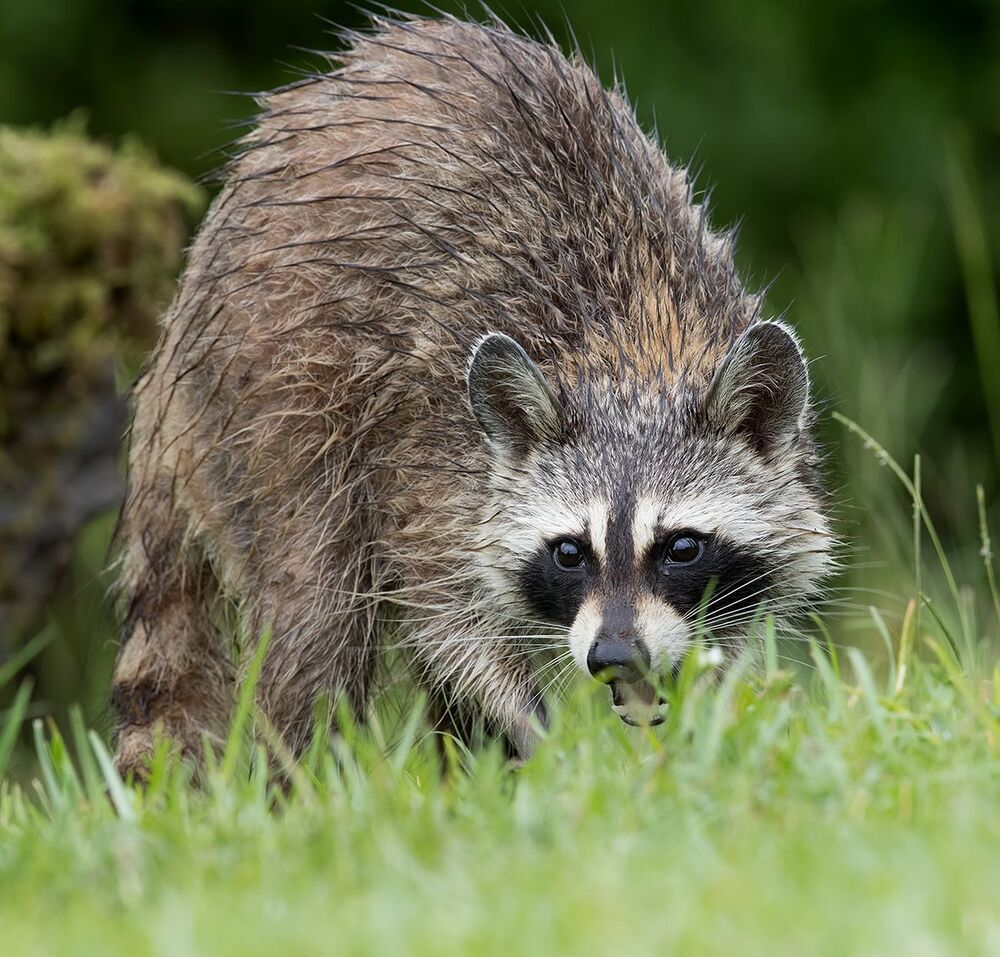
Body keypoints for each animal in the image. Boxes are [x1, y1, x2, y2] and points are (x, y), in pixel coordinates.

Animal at [112, 13, 833, 776]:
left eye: (682, 547)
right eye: (569, 552)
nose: (613, 656)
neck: (633, 353)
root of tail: (180, 325)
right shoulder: (431, 450)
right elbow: (443, 616)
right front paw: (542, 736)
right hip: (277, 395)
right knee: (316, 608)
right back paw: (308, 776)